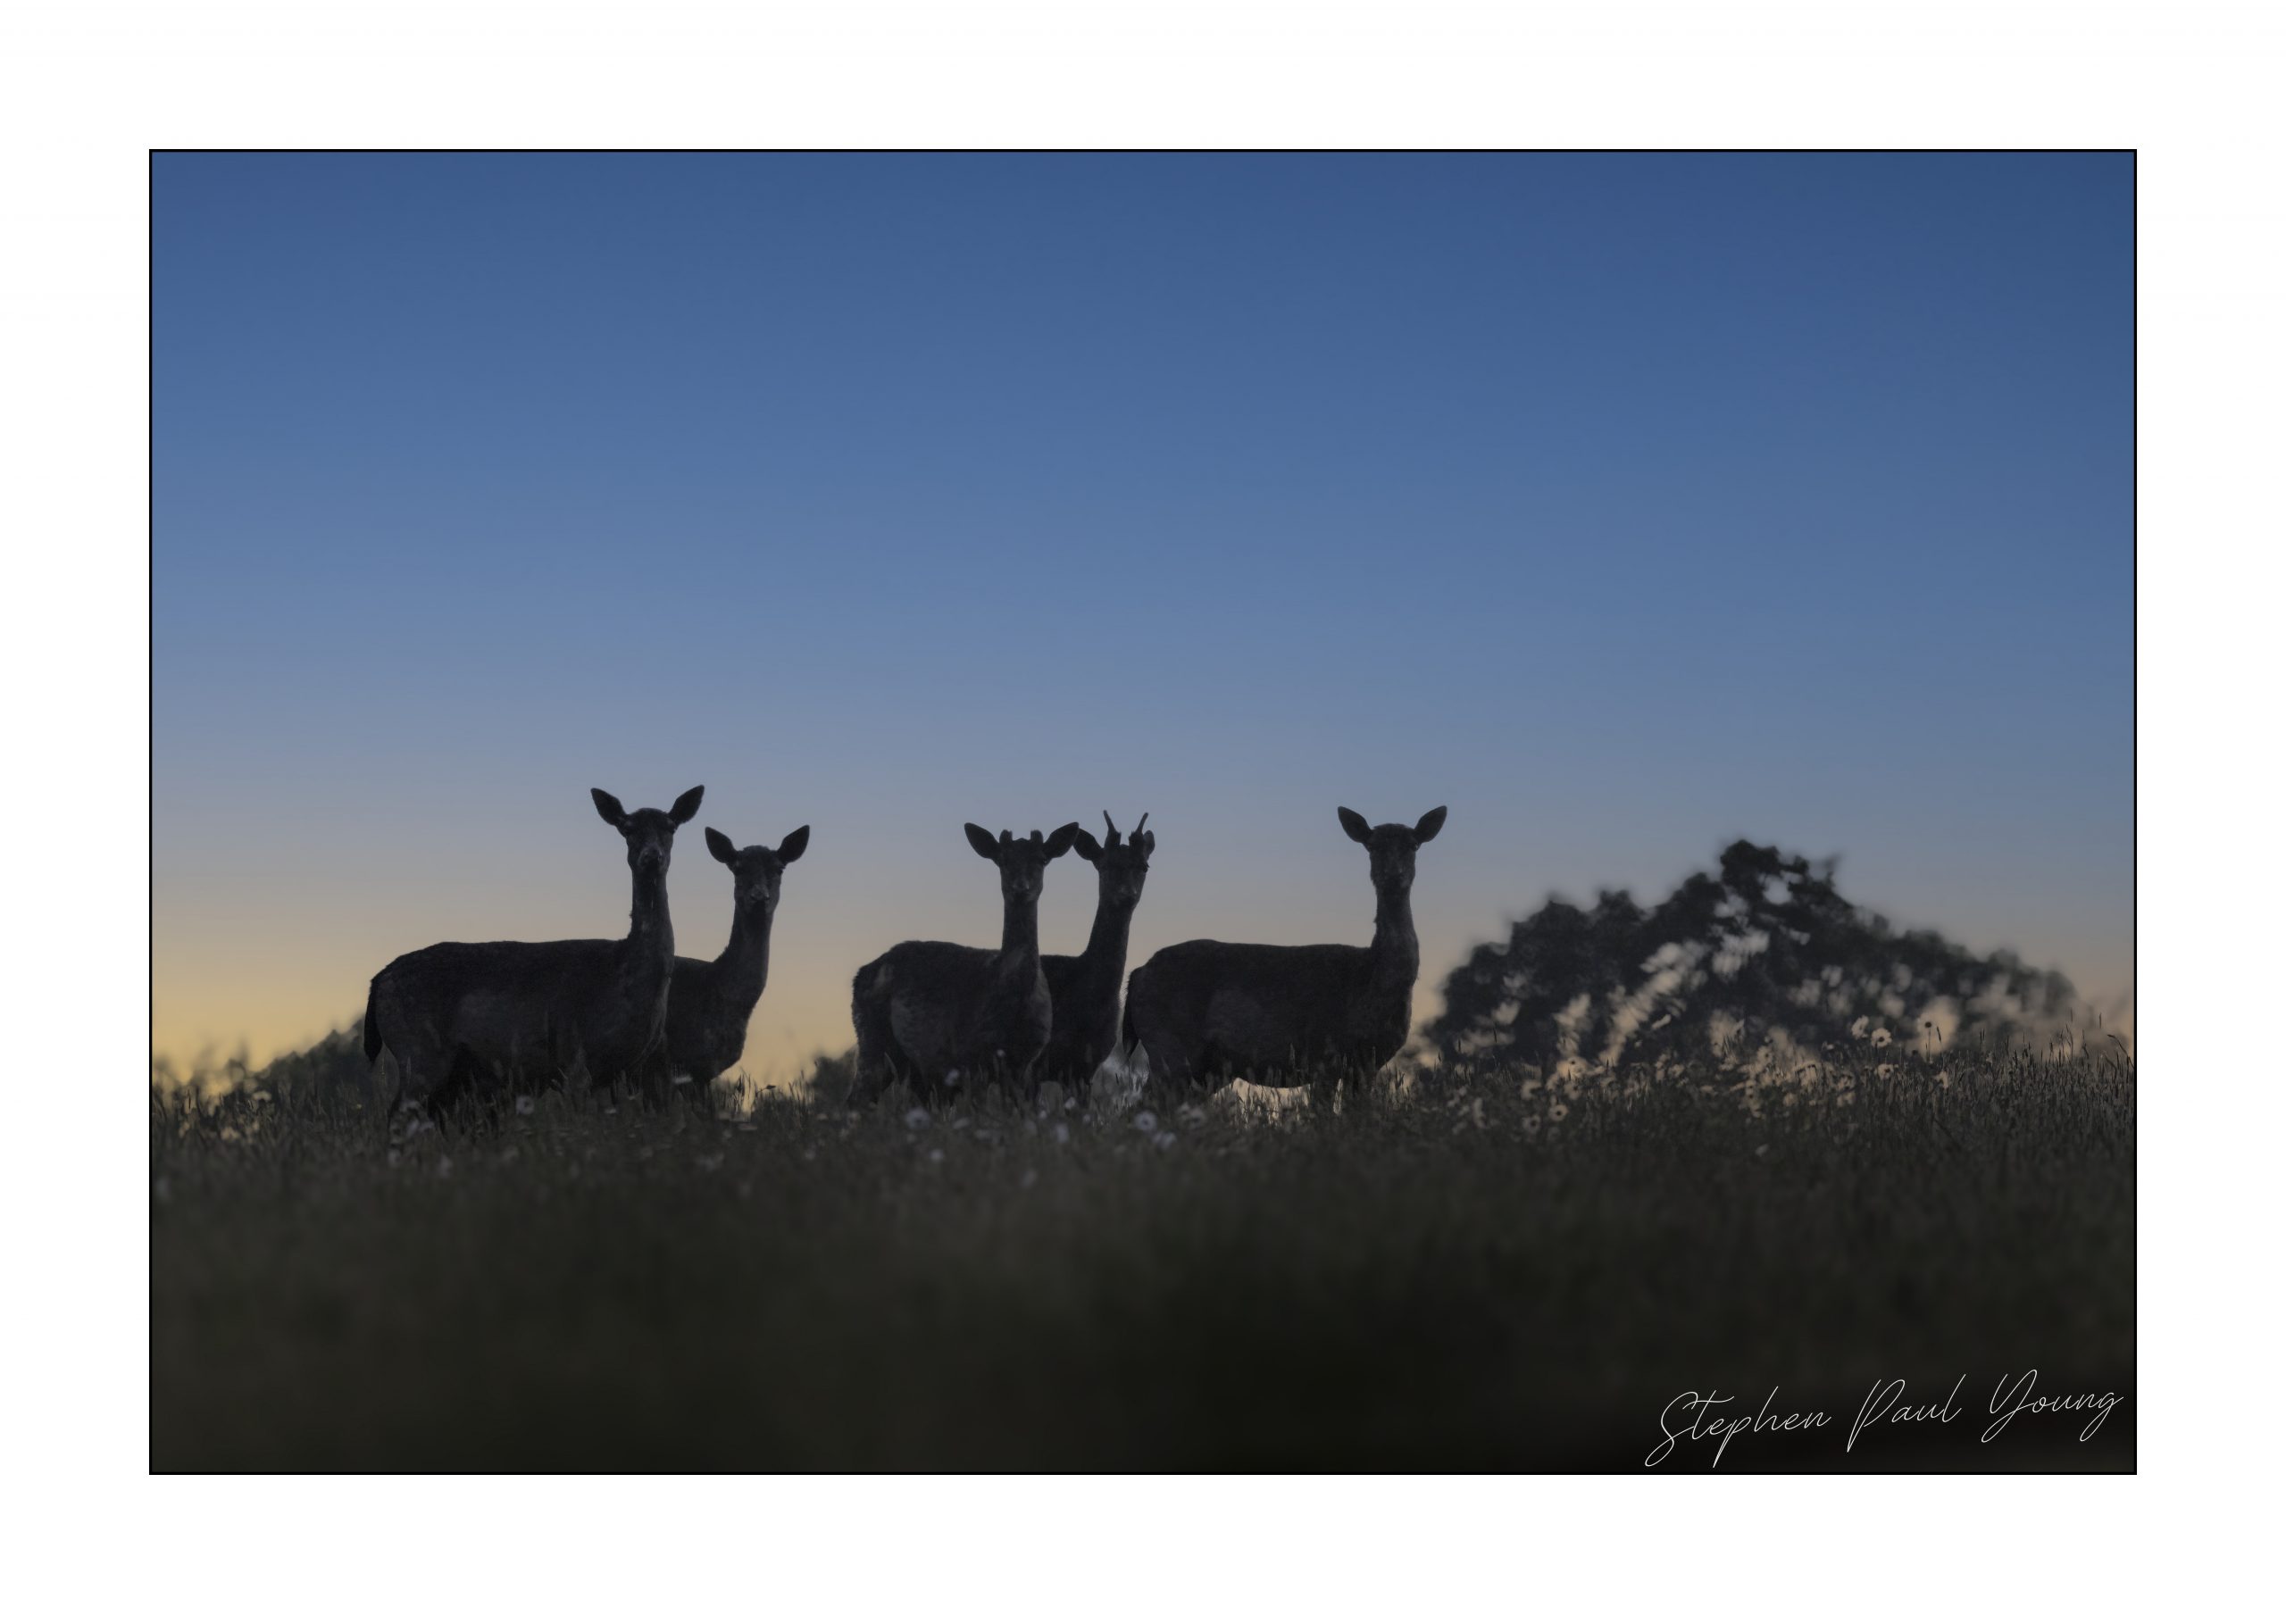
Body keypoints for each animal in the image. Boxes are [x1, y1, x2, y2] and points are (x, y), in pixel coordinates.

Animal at [362, 785, 705, 1120]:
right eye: (627, 828)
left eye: (670, 826)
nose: (652, 856)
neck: (623, 979)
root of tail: (378, 980)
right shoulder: (573, 1056)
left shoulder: (627, 1070)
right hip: (418, 1050)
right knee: (396, 1115)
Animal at [848, 821, 1081, 1107]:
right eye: (1002, 859)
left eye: (1042, 859)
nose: (1020, 887)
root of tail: (859, 976)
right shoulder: (970, 1056)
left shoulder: (1024, 1062)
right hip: (871, 1036)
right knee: (856, 1099)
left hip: (913, 1066)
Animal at [1123, 805, 1446, 1110]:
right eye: (1372, 845)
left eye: (1413, 845)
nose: (1393, 875)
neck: (1372, 980)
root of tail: (1137, 974)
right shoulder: (1325, 1053)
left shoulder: (1367, 1062)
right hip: (1169, 1045)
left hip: (1207, 1067)